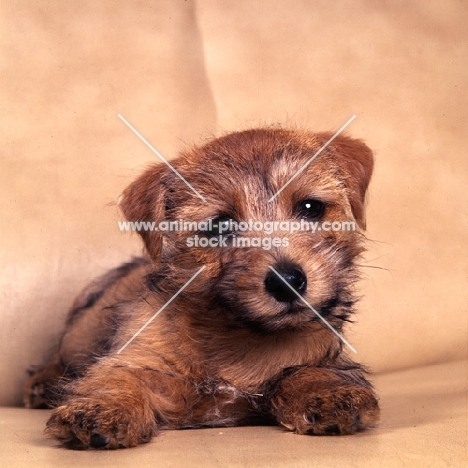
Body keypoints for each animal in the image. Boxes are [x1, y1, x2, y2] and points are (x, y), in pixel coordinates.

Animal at [23, 128, 378, 450]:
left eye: (310, 207)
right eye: (219, 225)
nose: (287, 281)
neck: (236, 332)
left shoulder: (319, 354)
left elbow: (308, 371)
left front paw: (329, 394)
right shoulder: (136, 358)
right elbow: (119, 378)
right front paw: (101, 409)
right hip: (80, 333)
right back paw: (41, 383)